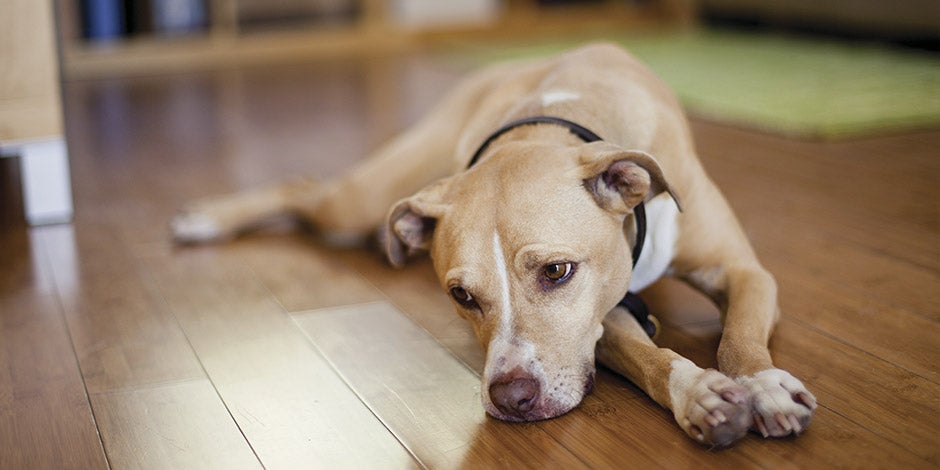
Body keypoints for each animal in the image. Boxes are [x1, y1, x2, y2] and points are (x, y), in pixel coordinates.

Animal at [174, 44, 816, 448]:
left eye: (557, 271)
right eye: (460, 296)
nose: (511, 398)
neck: (555, 120)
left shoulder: (741, 269)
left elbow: (740, 335)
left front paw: (763, 386)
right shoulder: (598, 323)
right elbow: (647, 357)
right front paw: (700, 394)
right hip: (363, 199)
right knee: (303, 186)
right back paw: (205, 219)